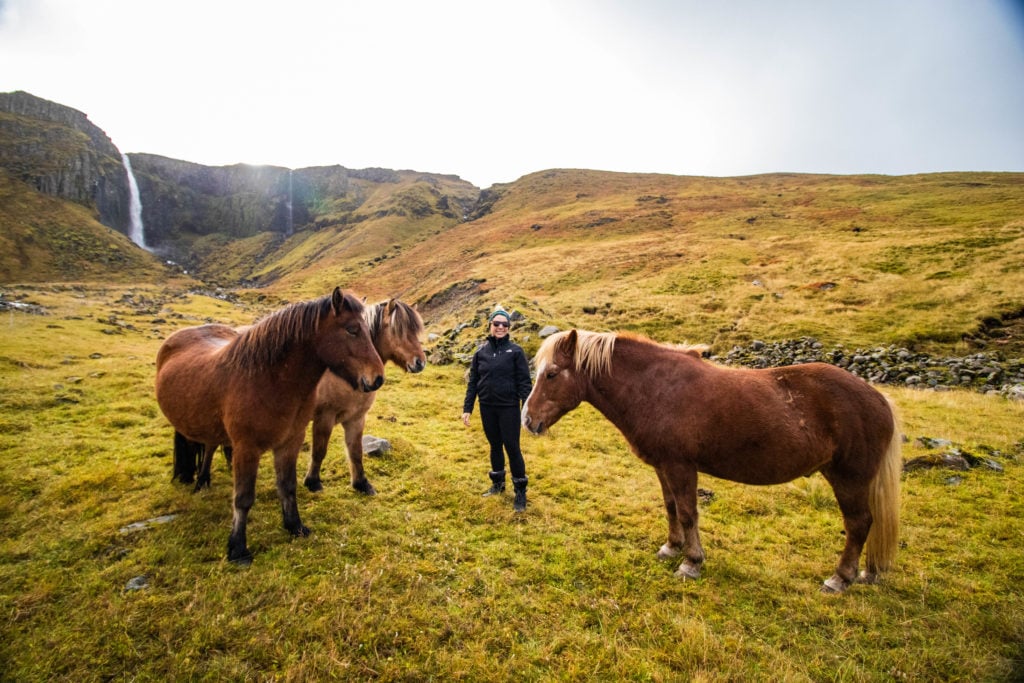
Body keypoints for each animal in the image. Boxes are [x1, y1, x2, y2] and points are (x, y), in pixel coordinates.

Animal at [155, 286, 385, 565]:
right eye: (352, 329)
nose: (377, 378)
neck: (269, 381)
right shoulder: (247, 448)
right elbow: (243, 498)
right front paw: (238, 549)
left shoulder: (290, 441)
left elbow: (287, 486)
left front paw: (295, 526)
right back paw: (201, 483)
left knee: (209, 446)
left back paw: (203, 481)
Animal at [301, 299, 425, 497]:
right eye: (398, 330)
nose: (420, 362)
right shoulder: (324, 418)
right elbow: (319, 450)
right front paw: (313, 482)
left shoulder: (357, 418)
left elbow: (356, 452)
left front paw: (361, 484)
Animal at [524, 331, 901, 593]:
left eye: (552, 374)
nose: (528, 421)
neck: (656, 388)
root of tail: (878, 399)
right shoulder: (663, 467)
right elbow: (671, 507)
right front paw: (671, 548)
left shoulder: (681, 466)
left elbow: (689, 513)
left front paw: (691, 563)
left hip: (849, 479)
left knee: (858, 524)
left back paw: (840, 578)